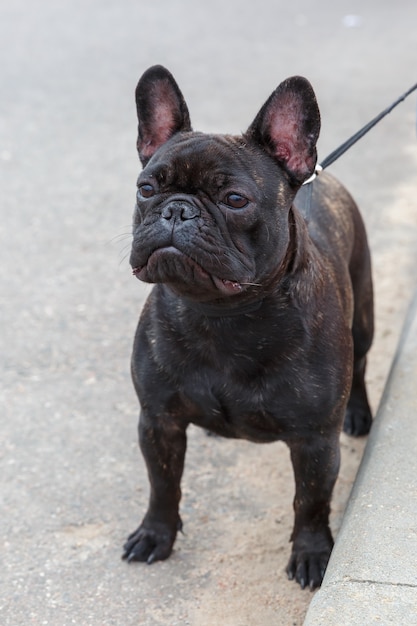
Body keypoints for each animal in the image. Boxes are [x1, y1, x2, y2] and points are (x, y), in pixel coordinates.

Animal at [122, 66, 372, 588]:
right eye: (146, 189)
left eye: (235, 199)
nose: (177, 209)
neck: (222, 314)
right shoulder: (158, 420)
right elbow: (163, 484)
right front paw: (155, 534)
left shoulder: (315, 441)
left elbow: (311, 502)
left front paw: (312, 554)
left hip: (363, 317)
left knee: (360, 364)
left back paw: (359, 413)